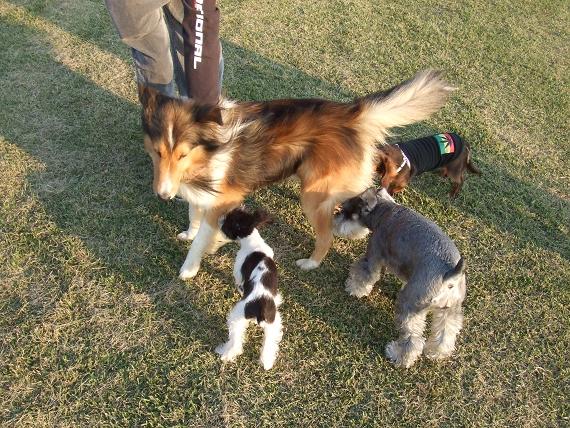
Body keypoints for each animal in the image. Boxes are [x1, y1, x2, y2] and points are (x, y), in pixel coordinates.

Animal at [139, 70, 453, 279]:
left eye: (182, 154)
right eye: (158, 152)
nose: (163, 195)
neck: (210, 147)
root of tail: (353, 113)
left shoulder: (220, 202)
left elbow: (201, 237)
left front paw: (189, 268)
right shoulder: (201, 194)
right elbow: (194, 214)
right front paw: (190, 233)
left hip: (314, 196)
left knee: (330, 232)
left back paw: (312, 261)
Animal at [215, 207, 283, 370]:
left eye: (228, 221)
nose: (219, 219)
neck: (254, 243)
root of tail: (261, 306)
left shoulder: (239, 273)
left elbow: (239, 284)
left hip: (237, 316)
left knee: (236, 343)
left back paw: (225, 353)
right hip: (273, 324)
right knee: (269, 344)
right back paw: (267, 362)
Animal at [333, 188, 467, 368]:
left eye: (346, 210)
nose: (333, 220)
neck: (384, 211)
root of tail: (450, 274)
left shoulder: (373, 254)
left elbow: (364, 274)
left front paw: (354, 289)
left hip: (409, 305)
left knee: (412, 338)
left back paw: (398, 356)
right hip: (450, 310)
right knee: (446, 332)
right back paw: (436, 353)